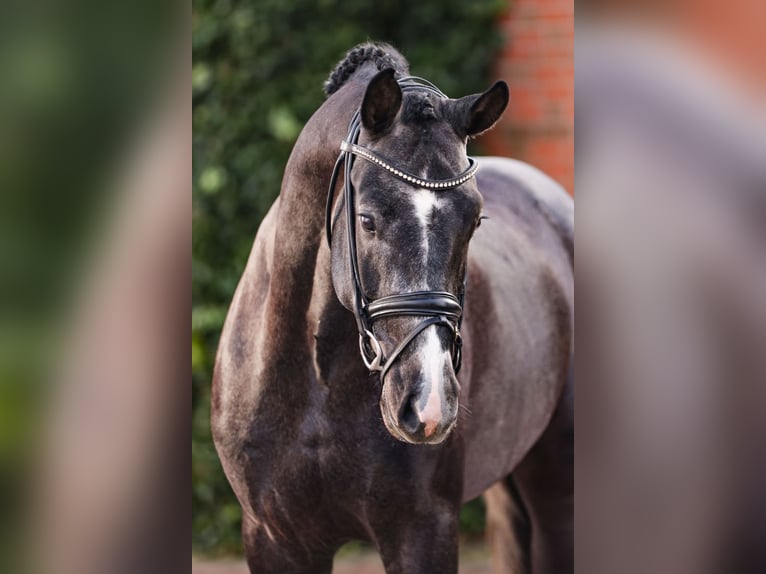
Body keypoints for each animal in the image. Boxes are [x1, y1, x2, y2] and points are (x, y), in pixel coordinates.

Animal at [212, 43, 573, 574]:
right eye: (367, 220)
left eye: (475, 220)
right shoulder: (274, 539)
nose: (428, 404)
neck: (317, 378)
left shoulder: (422, 530)